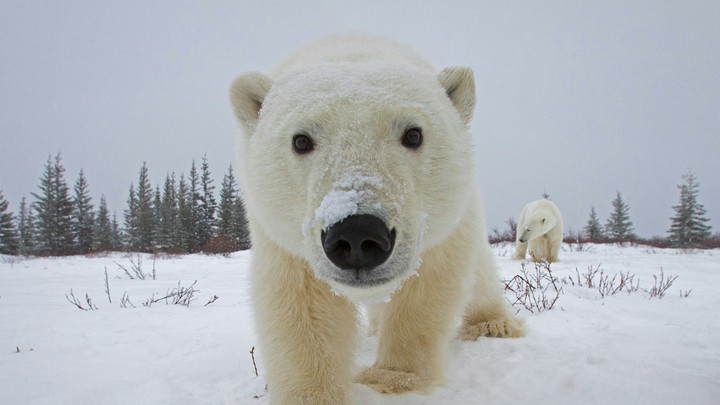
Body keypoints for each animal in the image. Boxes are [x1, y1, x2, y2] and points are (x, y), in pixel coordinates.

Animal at [229, 34, 523, 404]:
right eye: (301, 140)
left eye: (413, 134)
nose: (357, 234)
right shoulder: (281, 236)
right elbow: (301, 304)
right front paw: (314, 394)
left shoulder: (443, 226)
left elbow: (426, 287)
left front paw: (391, 378)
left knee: (480, 274)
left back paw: (493, 324)